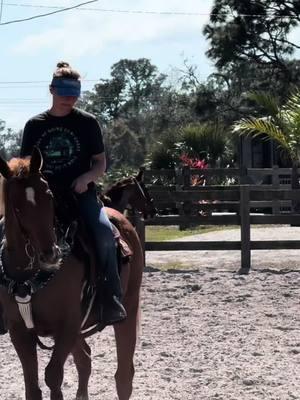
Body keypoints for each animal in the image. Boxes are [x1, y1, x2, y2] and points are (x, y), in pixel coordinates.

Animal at [0, 148, 144, 400]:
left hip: (129, 304)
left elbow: (53, 376)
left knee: (124, 376)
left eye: (49, 196)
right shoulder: (19, 331)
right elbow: (32, 386)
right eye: (16, 206)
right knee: (85, 360)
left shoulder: (68, 325)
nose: (51, 254)